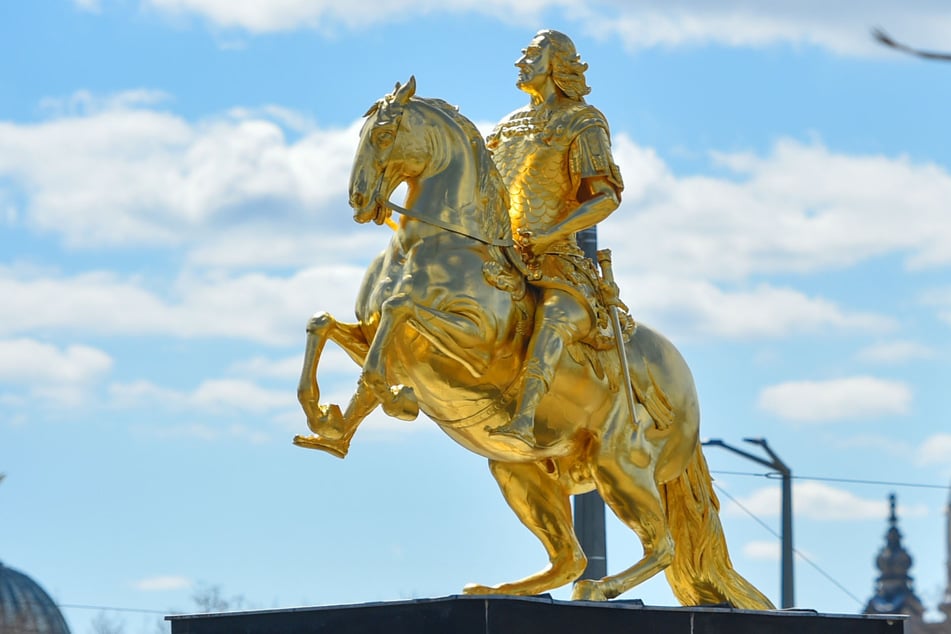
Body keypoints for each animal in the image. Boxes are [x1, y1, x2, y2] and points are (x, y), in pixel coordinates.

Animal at [296, 79, 772, 608]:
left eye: (382, 134)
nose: (358, 200)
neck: (434, 244)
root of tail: (686, 390)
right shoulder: (370, 332)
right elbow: (326, 326)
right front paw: (327, 423)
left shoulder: (476, 346)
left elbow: (399, 313)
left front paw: (396, 400)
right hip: (519, 474)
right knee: (571, 556)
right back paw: (497, 589)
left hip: (619, 467)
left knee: (659, 545)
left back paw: (597, 588)